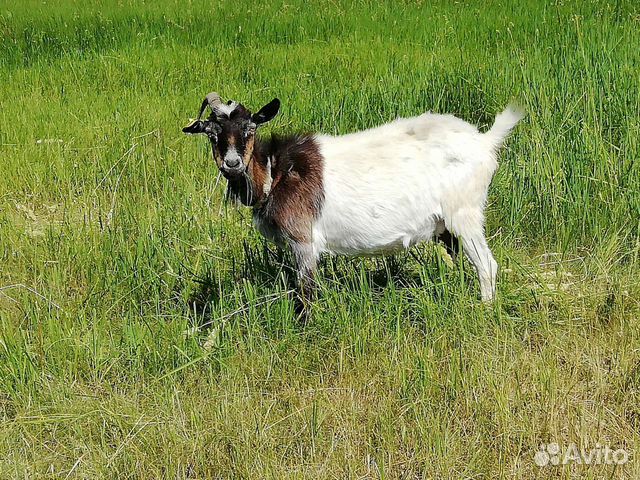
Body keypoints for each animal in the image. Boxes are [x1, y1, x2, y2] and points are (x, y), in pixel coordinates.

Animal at [182, 93, 524, 302]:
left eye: (250, 128)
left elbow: (305, 291)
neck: (275, 170)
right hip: (445, 225)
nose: (232, 163)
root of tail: (485, 141)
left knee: (486, 265)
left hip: (464, 211)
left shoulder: (303, 239)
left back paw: (484, 307)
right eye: (212, 133)